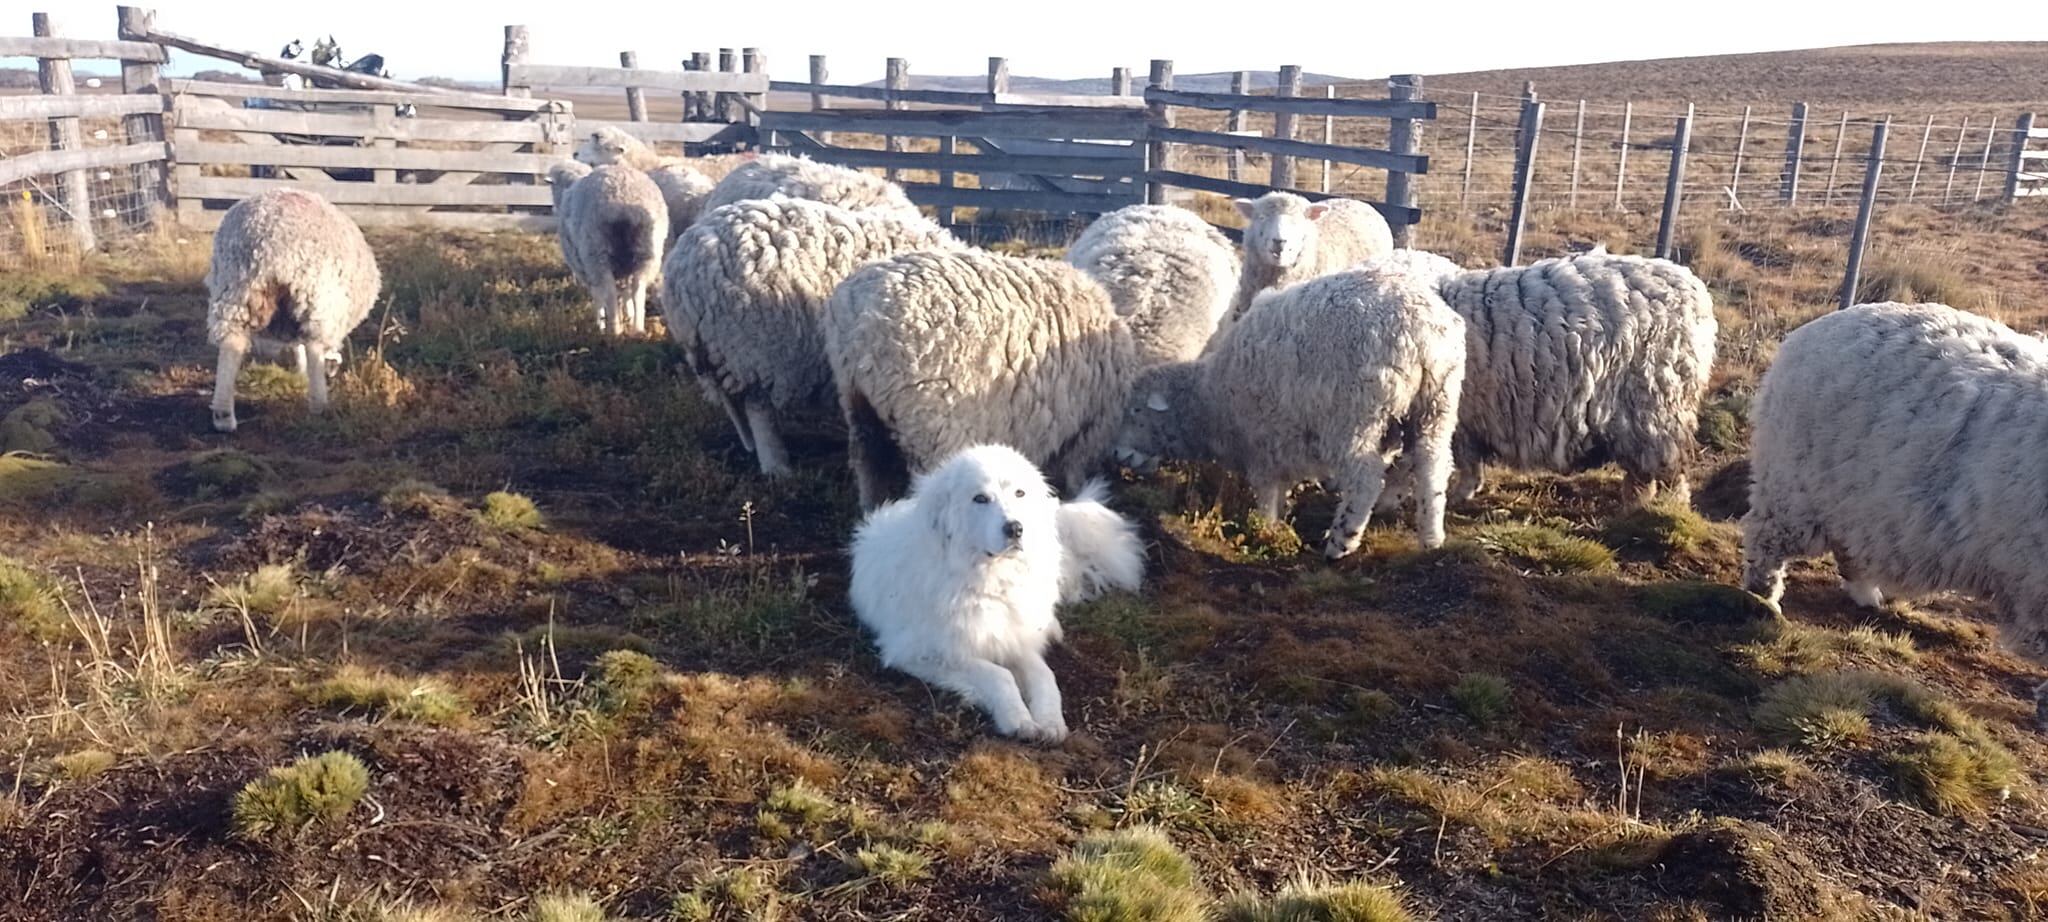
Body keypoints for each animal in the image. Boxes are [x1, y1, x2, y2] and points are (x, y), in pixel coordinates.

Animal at [205, 187, 381, 433]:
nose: (331, 374)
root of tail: (266, 237)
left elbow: (298, 347)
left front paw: (300, 371)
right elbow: (307, 348)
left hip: (236, 288)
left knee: (232, 343)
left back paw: (223, 416)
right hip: (315, 294)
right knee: (314, 344)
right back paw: (319, 406)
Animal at [558, 164, 668, 335]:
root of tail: (622, 198)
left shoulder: (586, 271)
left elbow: (598, 296)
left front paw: (600, 324)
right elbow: (626, 292)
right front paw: (628, 315)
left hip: (597, 252)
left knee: (609, 290)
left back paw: (614, 330)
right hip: (647, 252)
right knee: (637, 287)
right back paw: (637, 328)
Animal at [823, 249, 1136, 510]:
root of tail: (864, 315)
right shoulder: (1085, 428)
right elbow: (1070, 474)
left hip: (857, 405)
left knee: (870, 466)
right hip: (932, 424)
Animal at [1113, 261, 1466, 559]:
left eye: (1135, 411)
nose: (1117, 455)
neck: (1211, 400)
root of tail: (1420, 334)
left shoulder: (1263, 445)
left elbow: (1267, 492)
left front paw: (1266, 528)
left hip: (1355, 419)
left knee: (1365, 480)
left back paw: (1341, 542)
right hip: (1437, 406)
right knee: (1433, 467)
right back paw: (1432, 538)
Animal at [1741, 302, 2048, 716]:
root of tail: (1808, 332)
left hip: (1852, 502)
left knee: (1847, 550)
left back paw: (1865, 595)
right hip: (1794, 486)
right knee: (1766, 541)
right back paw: (1765, 598)